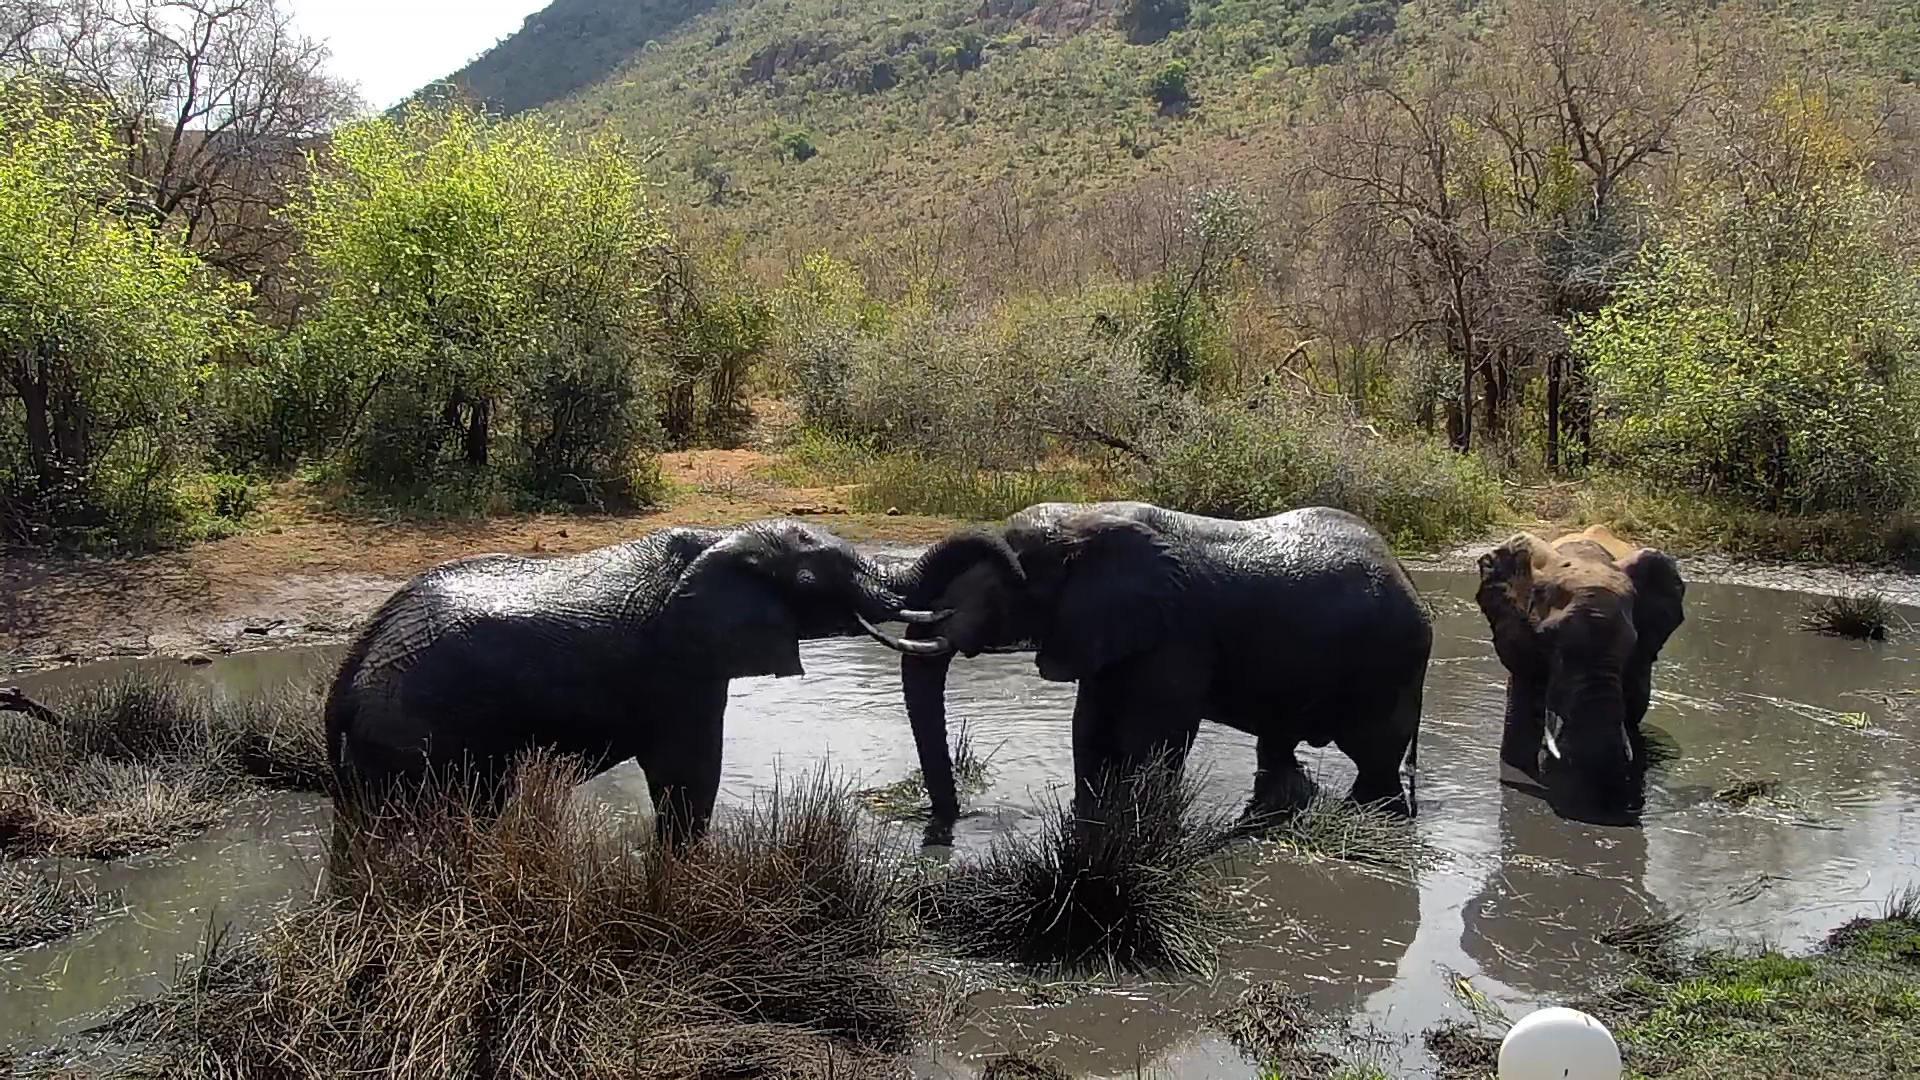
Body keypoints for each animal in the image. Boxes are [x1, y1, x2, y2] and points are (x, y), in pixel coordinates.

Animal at [323, 519, 932, 858]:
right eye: (819, 578)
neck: (721, 537)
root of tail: (347, 676)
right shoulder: (678, 667)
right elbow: (686, 777)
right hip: (421, 731)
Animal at [859, 502, 1433, 845]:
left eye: (1009, 581)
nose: (947, 826)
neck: (1090, 525)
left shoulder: (1176, 634)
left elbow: (1149, 737)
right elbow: (1090, 729)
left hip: (1390, 662)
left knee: (1376, 761)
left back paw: (1370, 822)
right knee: (1279, 749)